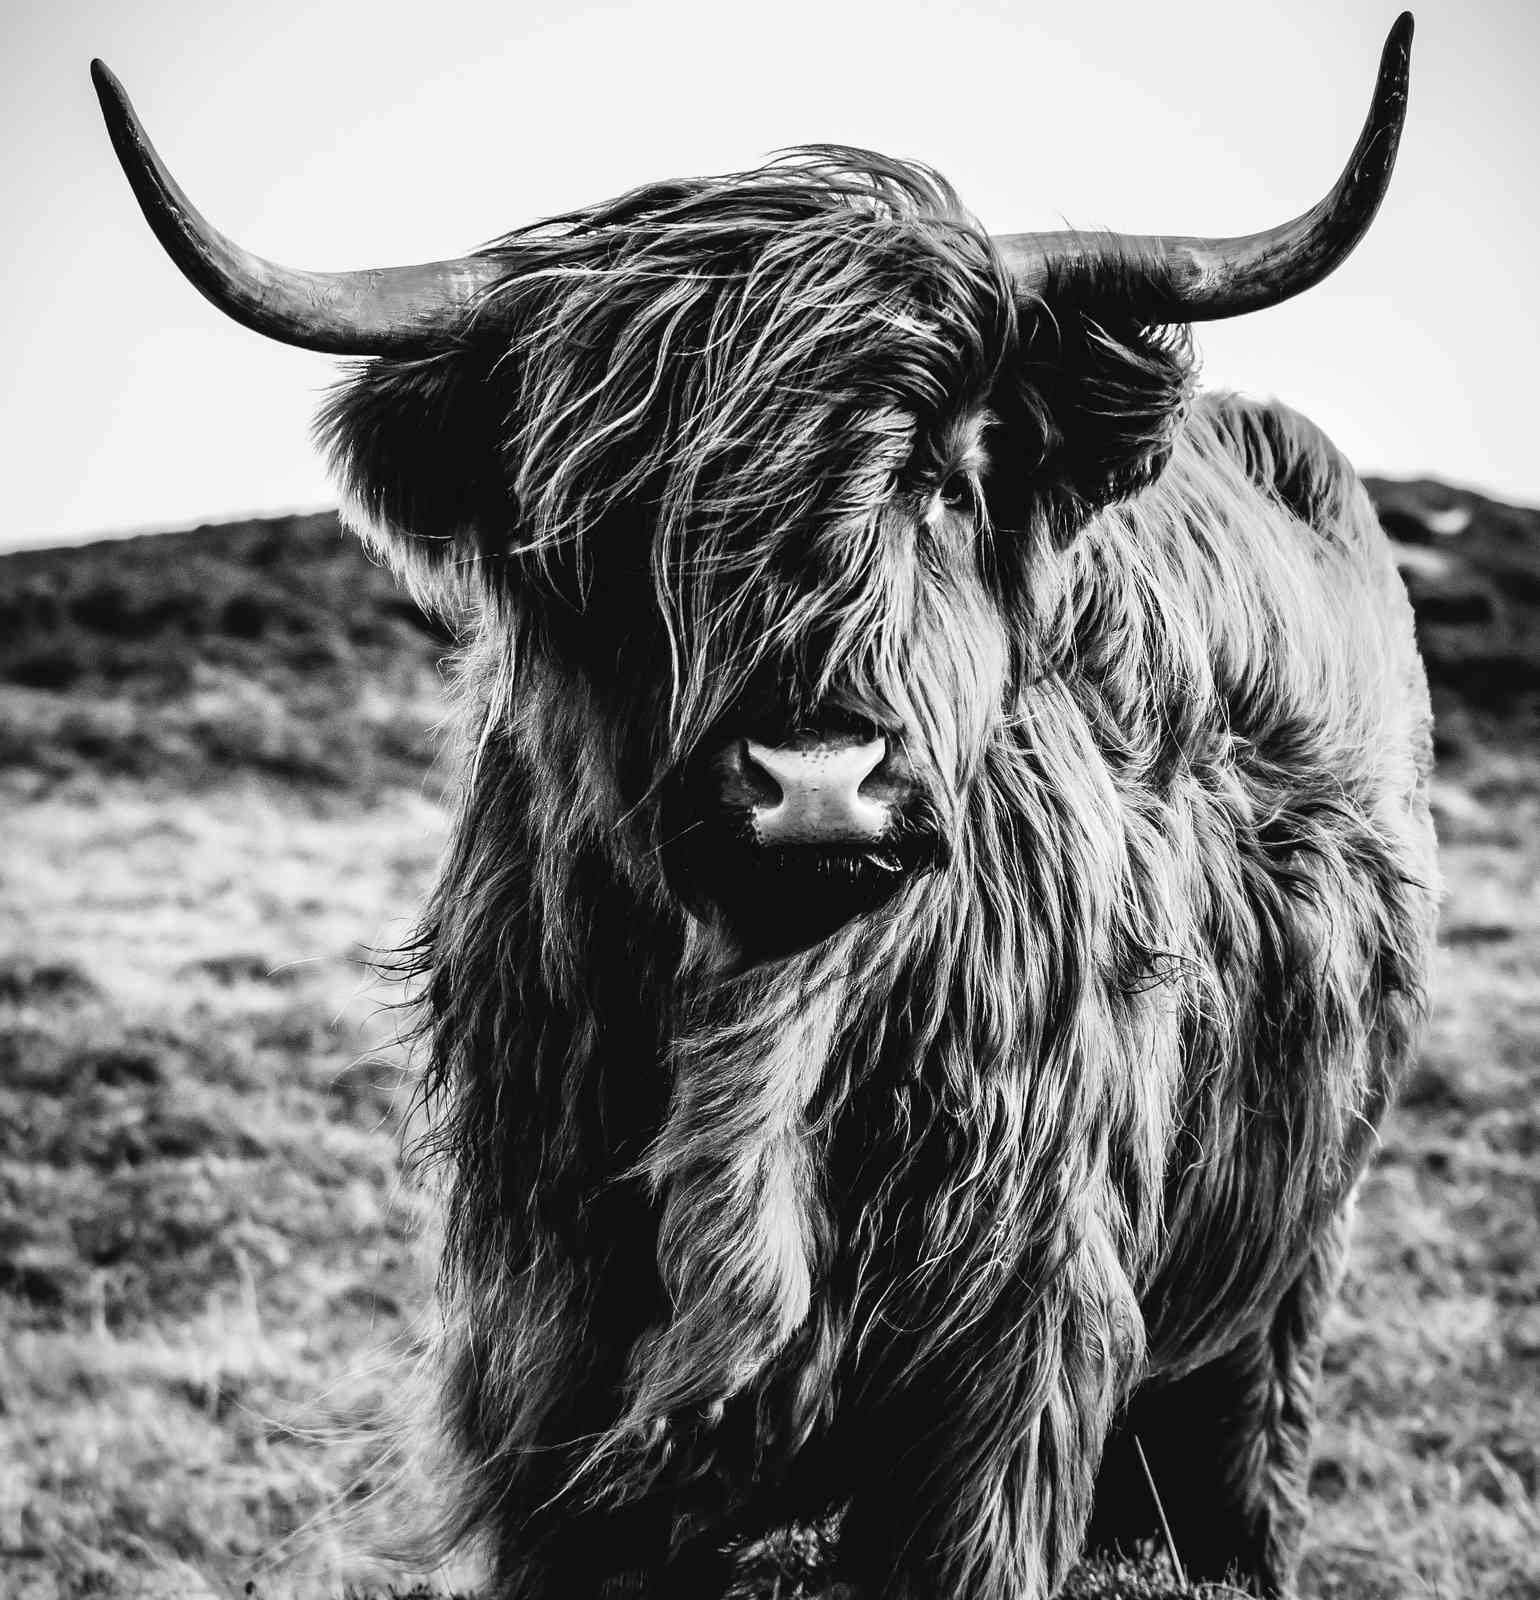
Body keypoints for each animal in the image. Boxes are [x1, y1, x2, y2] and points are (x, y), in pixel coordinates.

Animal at [94, 15, 1437, 1598]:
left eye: (946, 479)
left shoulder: (1005, 1371)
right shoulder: (549, 1373)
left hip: (1283, 1274)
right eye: (615, 516)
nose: (815, 783)